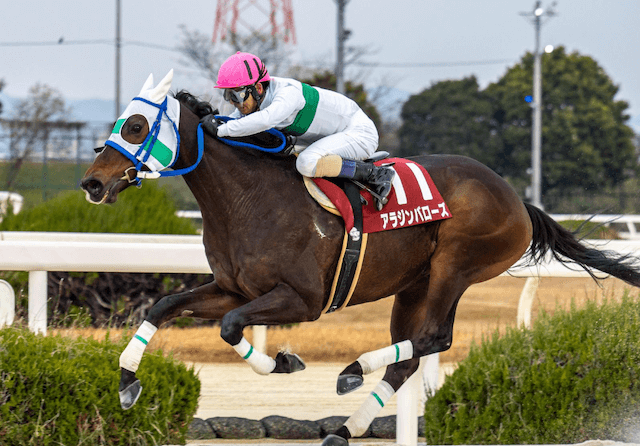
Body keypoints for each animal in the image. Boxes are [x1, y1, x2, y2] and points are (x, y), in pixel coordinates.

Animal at [81, 70, 640, 446]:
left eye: (135, 126)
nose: (91, 183)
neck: (247, 199)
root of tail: (517, 199)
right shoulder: (232, 288)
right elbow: (164, 307)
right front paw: (128, 384)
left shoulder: (302, 299)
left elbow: (231, 327)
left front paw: (282, 361)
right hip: (414, 284)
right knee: (410, 355)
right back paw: (345, 425)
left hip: (456, 266)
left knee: (433, 338)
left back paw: (353, 369)